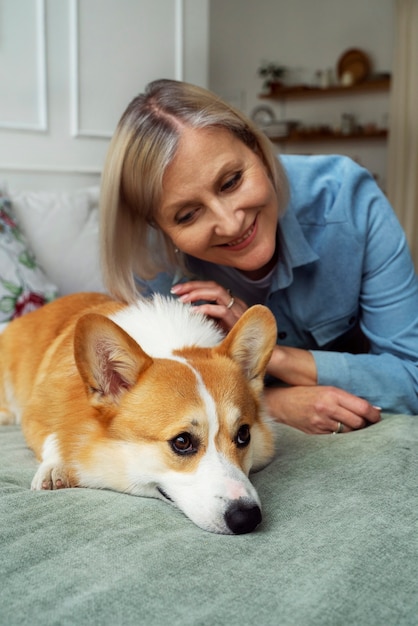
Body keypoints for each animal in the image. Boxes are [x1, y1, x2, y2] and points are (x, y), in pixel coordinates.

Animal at [0, 292, 278, 532]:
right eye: (182, 441)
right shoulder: (35, 413)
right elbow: (51, 437)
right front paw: (55, 467)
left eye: (244, 435)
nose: (247, 519)